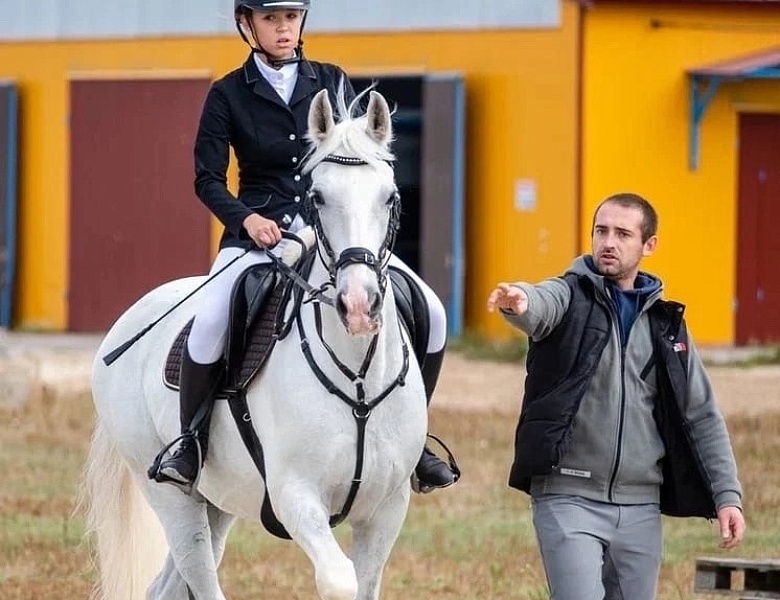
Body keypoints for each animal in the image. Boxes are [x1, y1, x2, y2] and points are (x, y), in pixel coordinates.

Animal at [81, 88, 426, 600]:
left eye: (390, 196)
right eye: (318, 196)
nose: (359, 305)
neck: (357, 378)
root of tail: (129, 319)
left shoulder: (387, 508)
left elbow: (363, 583)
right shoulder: (295, 496)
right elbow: (338, 580)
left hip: (217, 499)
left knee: (168, 585)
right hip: (171, 494)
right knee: (199, 573)